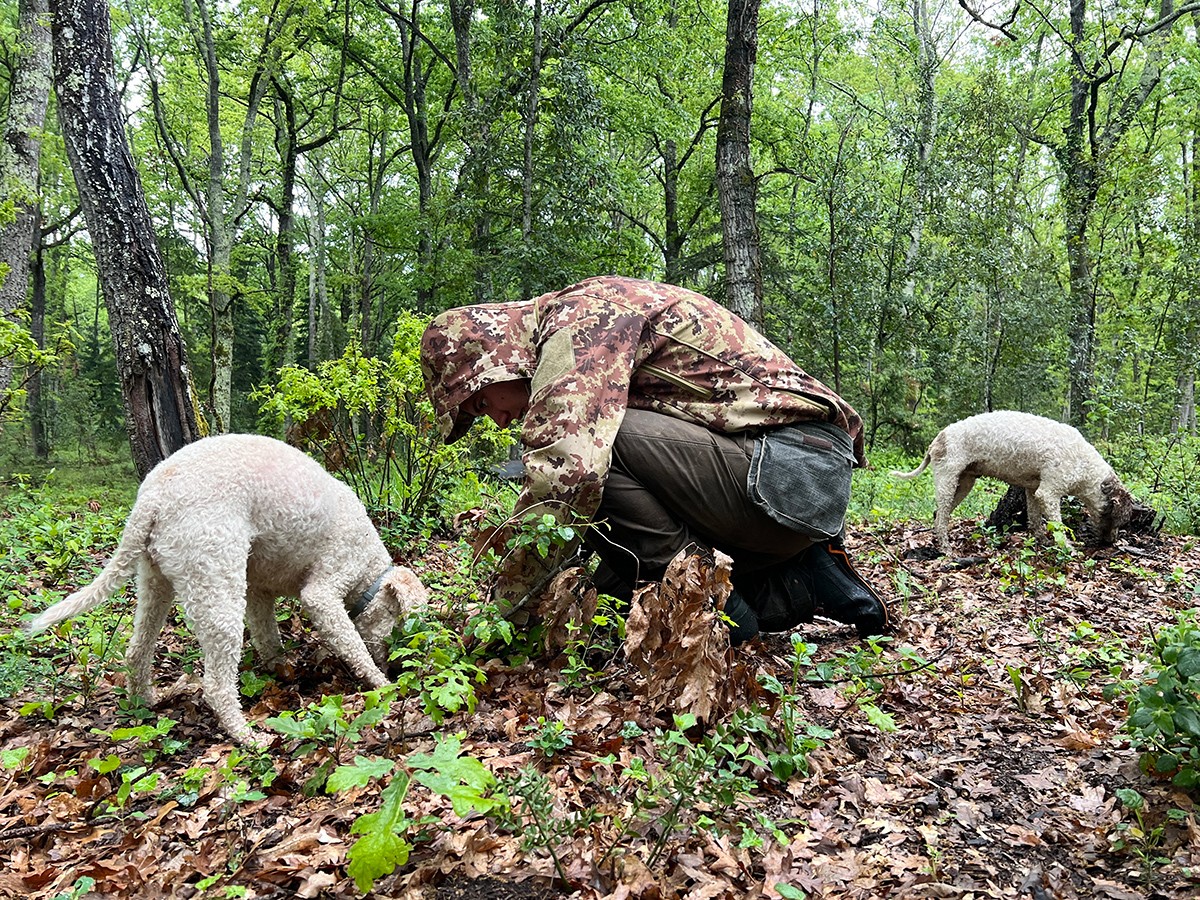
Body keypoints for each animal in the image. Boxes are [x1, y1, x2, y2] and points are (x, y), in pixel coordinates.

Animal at [24, 434, 432, 744]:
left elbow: (268, 639)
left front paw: (282, 671)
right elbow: (352, 644)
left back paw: (146, 703)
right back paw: (248, 737)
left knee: (137, 650)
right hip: (216, 586)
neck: (370, 571)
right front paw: (381, 684)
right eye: (401, 625)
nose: (397, 666)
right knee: (218, 687)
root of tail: (152, 498)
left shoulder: (259, 592)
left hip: (156, 581)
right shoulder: (323, 591)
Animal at [892, 415, 1132, 556]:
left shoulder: (1033, 491)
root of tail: (937, 439)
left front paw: (1041, 541)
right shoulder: (1049, 493)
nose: (1111, 543)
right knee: (941, 518)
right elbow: (1057, 526)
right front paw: (1067, 547)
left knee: (938, 515)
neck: (1086, 466)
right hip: (947, 481)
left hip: (964, 483)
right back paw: (946, 549)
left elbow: (1035, 521)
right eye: (1118, 519)